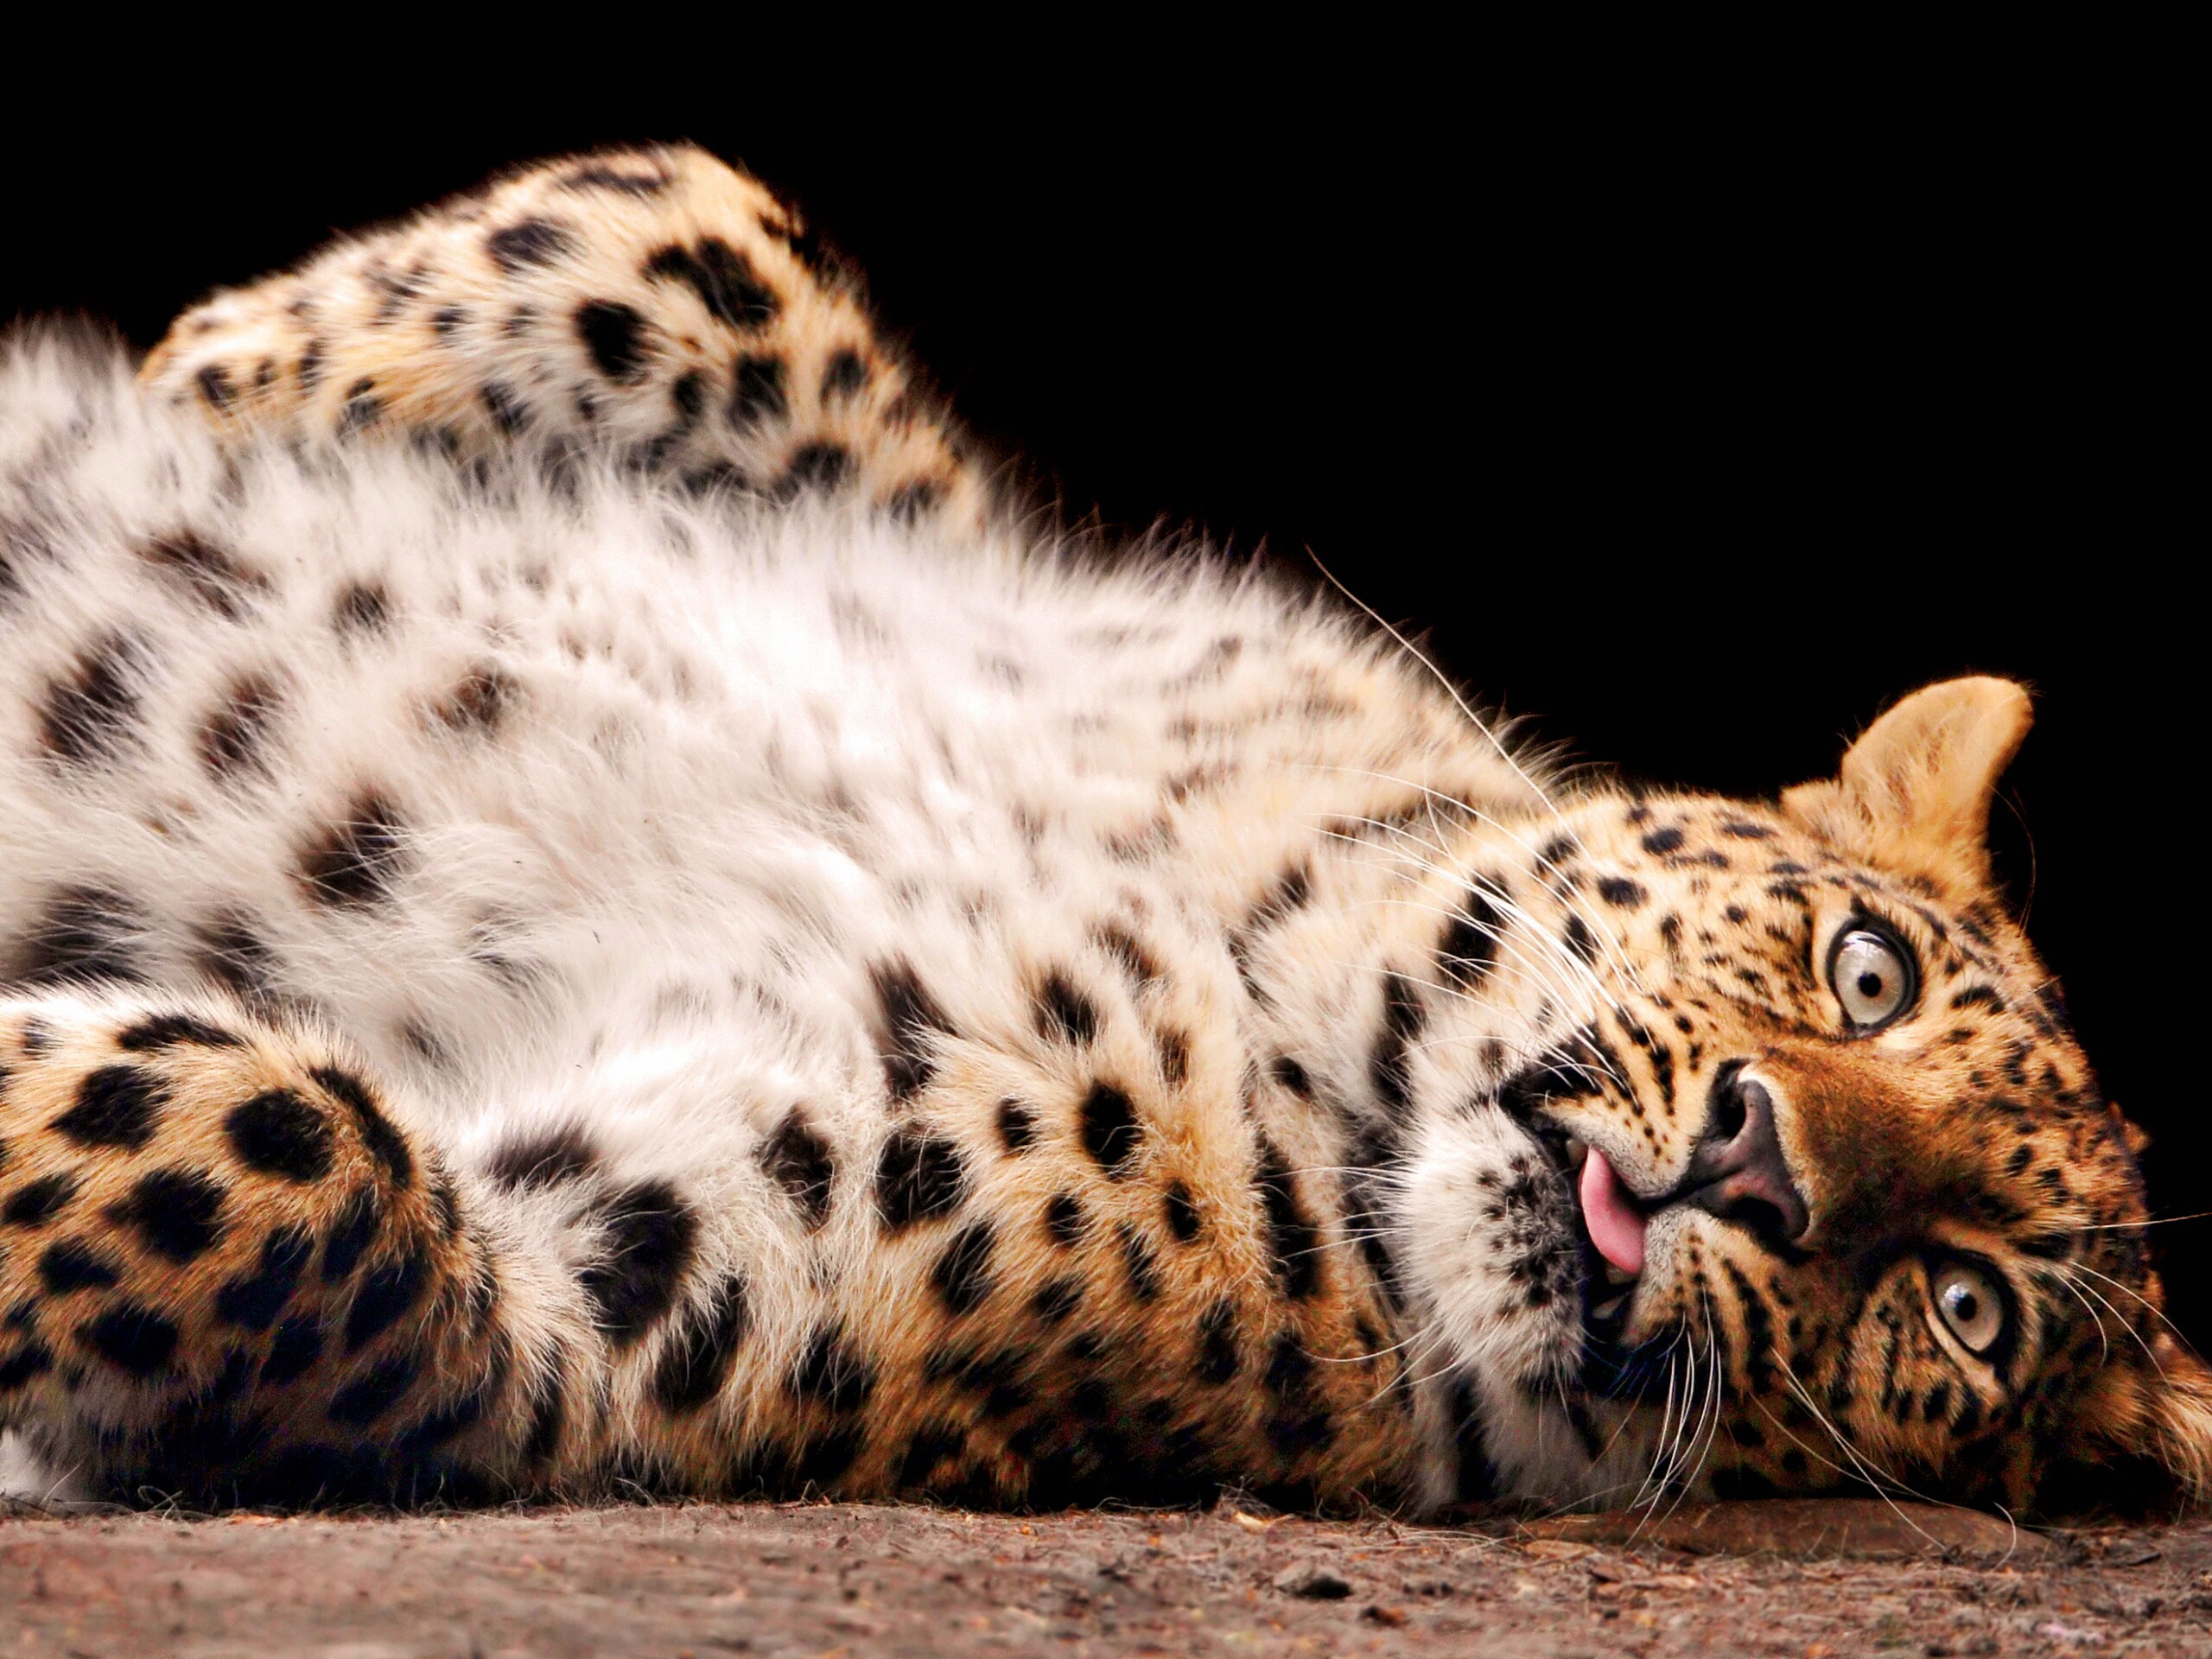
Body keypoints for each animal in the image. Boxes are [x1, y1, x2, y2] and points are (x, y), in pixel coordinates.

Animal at [0, 143, 2202, 1519]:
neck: (1269, 952)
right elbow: (711, 232)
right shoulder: (944, 532)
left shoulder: (640, 1304)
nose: (1756, 1159)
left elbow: (282, 1165)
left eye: (1959, 1311)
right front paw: (229, 377)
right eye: (1864, 969)